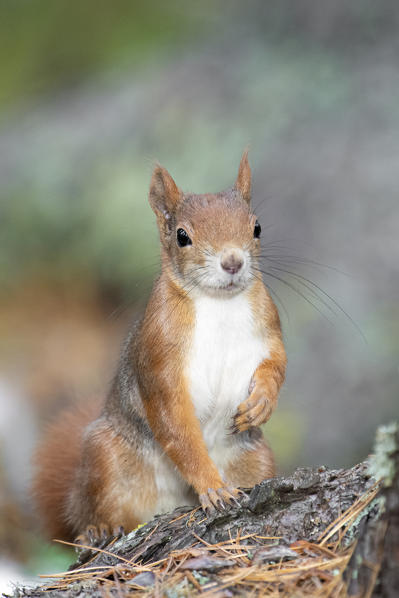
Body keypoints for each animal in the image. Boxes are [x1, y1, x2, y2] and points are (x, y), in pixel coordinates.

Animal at [31, 152, 288, 548]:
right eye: (182, 236)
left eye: (257, 227)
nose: (233, 262)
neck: (220, 305)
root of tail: (171, 502)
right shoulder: (159, 356)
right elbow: (176, 426)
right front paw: (213, 488)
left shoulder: (268, 331)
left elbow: (277, 365)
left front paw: (261, 403)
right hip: (106, 456)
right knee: (86, 511)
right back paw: (98, 529)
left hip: (255, 458)